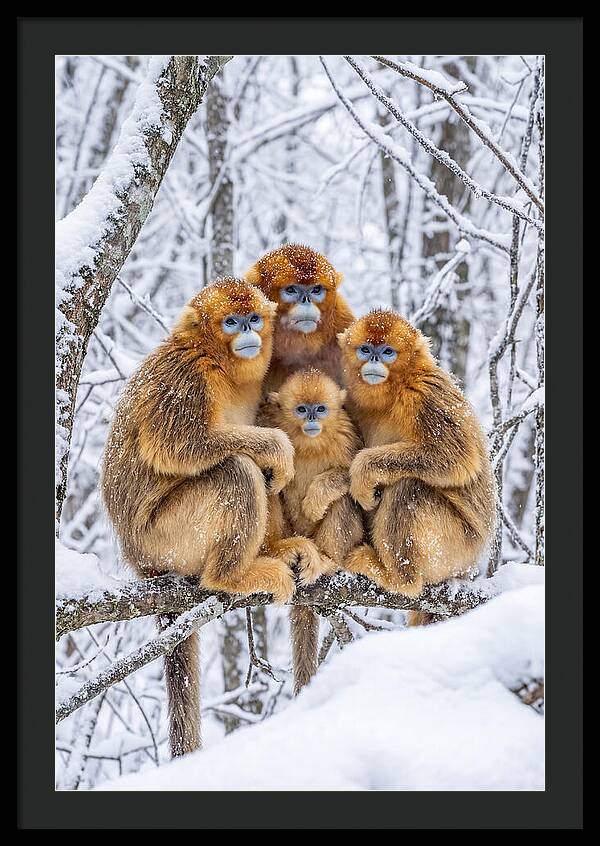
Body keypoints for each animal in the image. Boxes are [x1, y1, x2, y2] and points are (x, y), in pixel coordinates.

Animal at [101, 278, 320, 758]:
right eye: (232, 322)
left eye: (253, 318)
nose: (249, 332)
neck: (219, 362)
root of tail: (139, 560)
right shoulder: (185, 376)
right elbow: (179, 445)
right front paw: (276, 445)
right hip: (165, 538)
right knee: (237, 469)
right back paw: (232, 575)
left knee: (260, 476)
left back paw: (277, 550)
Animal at [262, 369, 364, 693]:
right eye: (300, 409)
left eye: (320, 408)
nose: (311, 419)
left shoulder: (347, 435)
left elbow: (355, 477)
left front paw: (317, 498)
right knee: (268, 483)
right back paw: (279, 550)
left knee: (344, 499)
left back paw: (327, 561)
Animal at [337, 310, 496, 626]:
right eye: (365, 349)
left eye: (387, 352)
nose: (375, 359)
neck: (395, 391)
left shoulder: (425, 394)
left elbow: (457, 458)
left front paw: (363, 471)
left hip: (456, 548)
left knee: (409, 488)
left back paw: (399, 579)